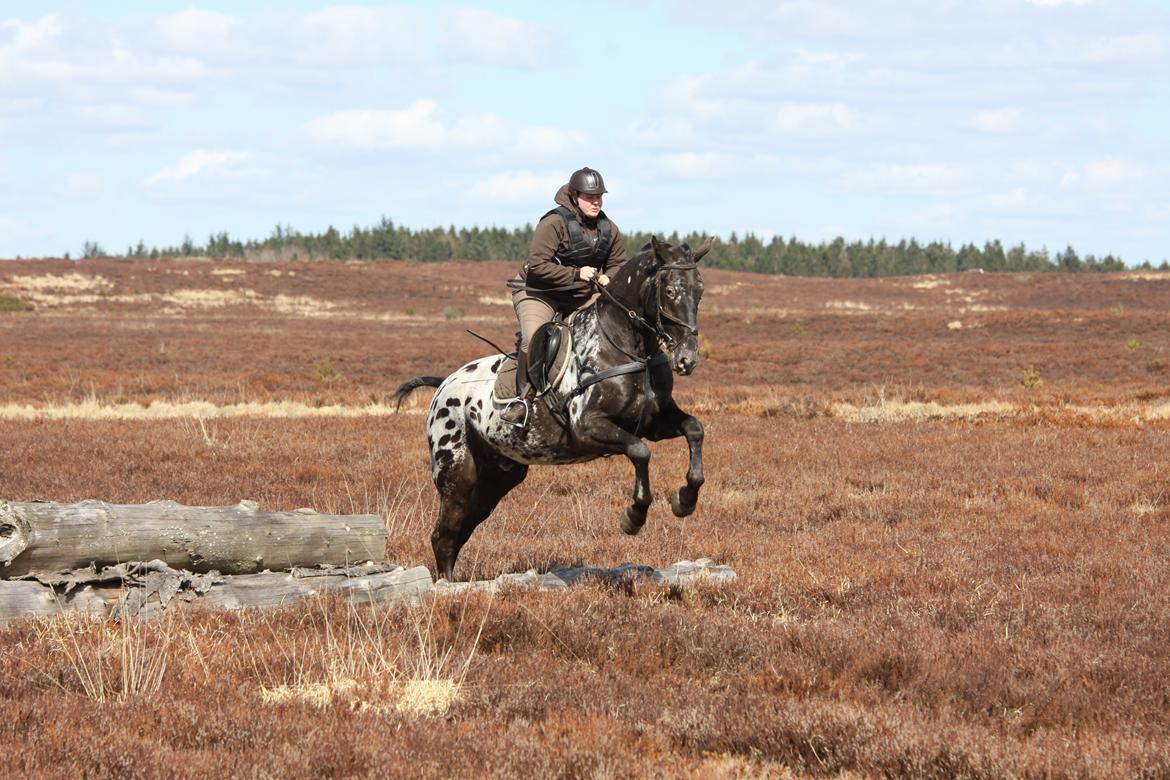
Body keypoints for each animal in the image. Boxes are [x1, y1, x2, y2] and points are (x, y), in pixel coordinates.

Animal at [395, 235, 711, 582]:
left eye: (700, 291)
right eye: (670, 291)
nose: (687, 359)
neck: (627, 347)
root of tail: (443, 384)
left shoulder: (654, 423)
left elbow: (694, 429)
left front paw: (685, 500)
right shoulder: (589, 428)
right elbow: (640, 452)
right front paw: (634, 516)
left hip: (497, 477)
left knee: (457, 533)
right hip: (457, 472)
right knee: (444, 534)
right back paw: (447, 587)